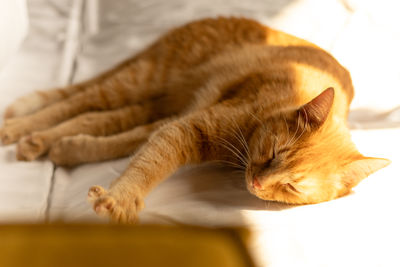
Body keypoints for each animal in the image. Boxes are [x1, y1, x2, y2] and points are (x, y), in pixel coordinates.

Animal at [0, 17, 390, 224]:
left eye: (292, 187)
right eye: (274, 154)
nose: (258, 183)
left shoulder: (173, 123)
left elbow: (128, 147)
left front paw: (74, 152)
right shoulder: (187, 128)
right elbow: (147, 165)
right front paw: (122, 198)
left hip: (154, 104)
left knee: (97, 119)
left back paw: (50, 145)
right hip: (138, 82)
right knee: (76, 103)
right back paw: (19, 131)